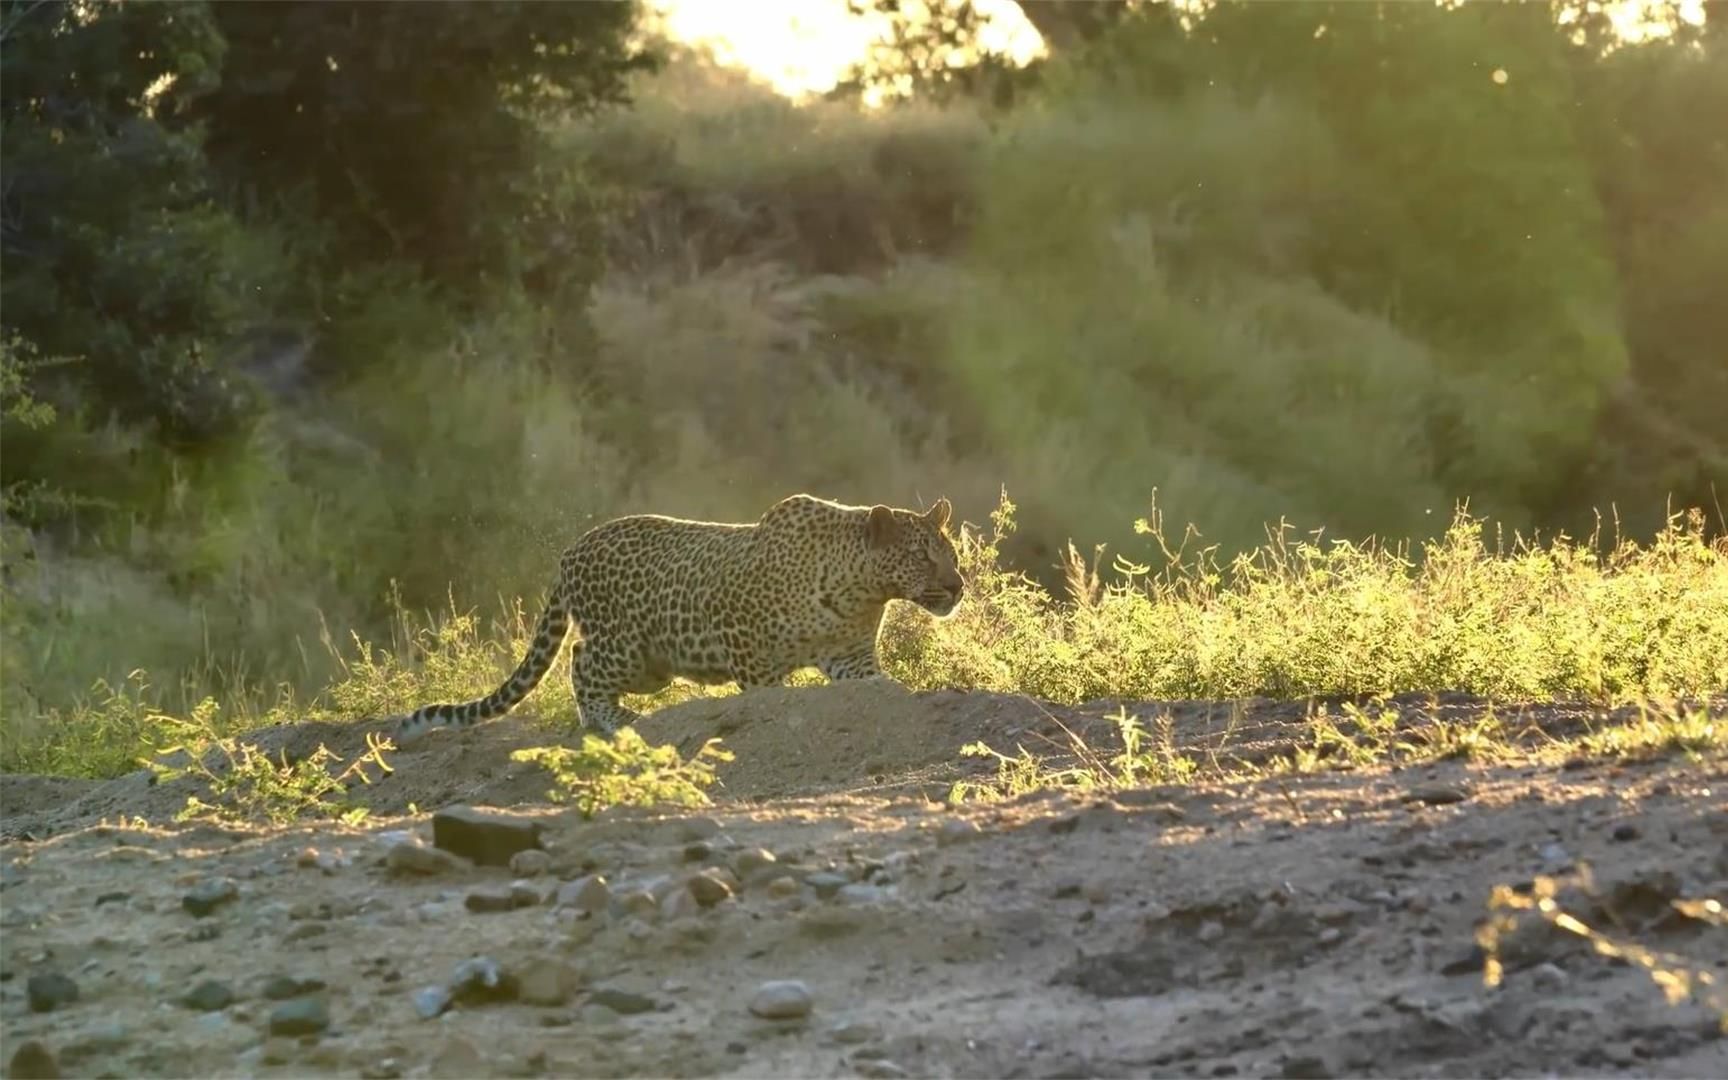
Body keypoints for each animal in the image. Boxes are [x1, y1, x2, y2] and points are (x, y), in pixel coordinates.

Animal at [385, 487, 967, 739]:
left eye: (952, 554)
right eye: (922, 556)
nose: (958, 586)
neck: (862, 589)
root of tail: (570, 552)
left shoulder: (850, 655)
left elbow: (875, 684)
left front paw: (899, 697)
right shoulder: (746, 643)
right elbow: (767, 694)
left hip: (650, 669)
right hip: (626, 648)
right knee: (580, 660)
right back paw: (611, 721)